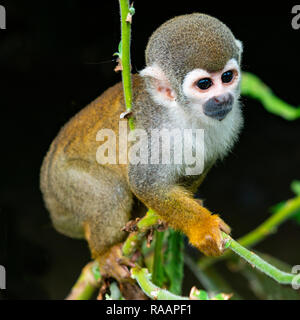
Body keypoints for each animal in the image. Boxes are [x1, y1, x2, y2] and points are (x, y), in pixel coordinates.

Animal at [39, 12, 244, 258]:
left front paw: (160, 219)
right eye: (204, 84)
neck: (183, 113)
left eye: (227, 77)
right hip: (64, 183)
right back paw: (105, 256)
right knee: (110, 194)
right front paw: (202, 228)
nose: (223, 99)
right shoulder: (157, 133)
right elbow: (145, 183)